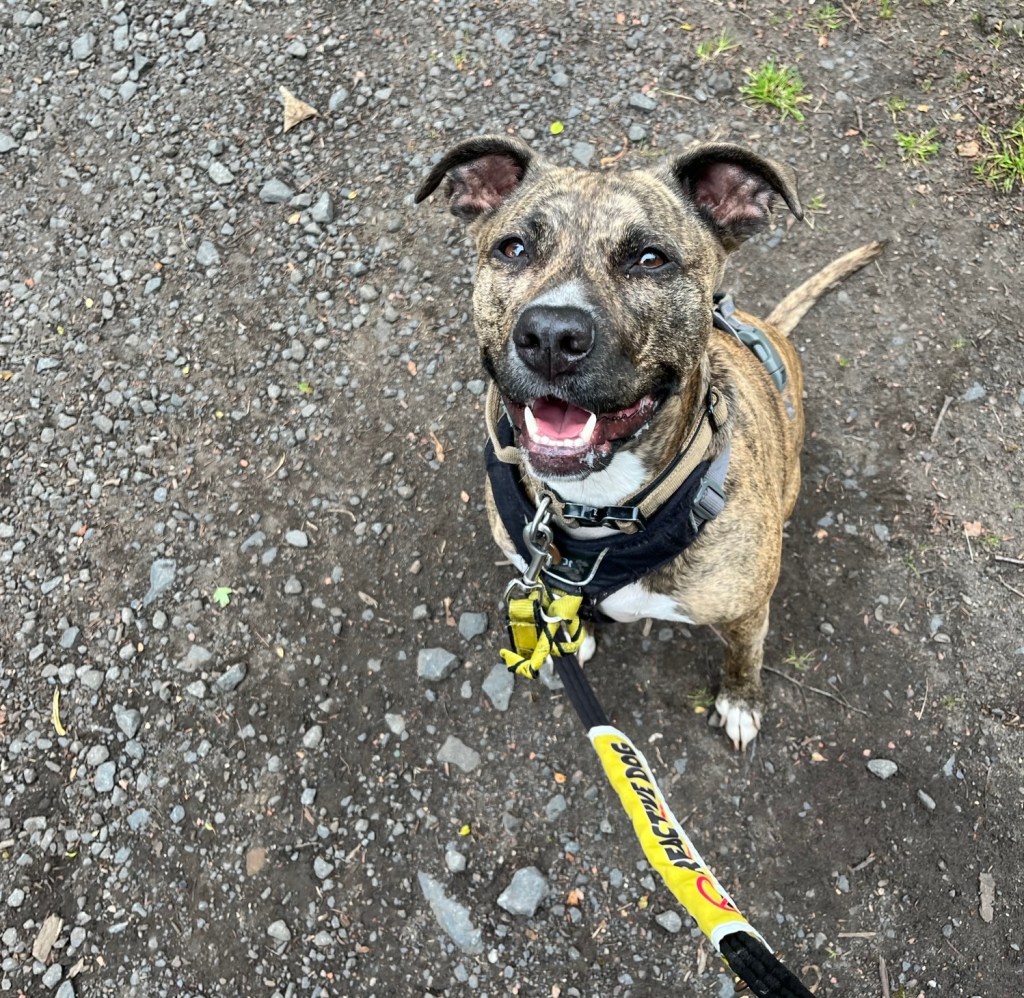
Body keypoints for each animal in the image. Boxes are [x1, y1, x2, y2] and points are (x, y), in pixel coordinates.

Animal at [415, 136, 880, 753]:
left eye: (650, 259)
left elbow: (745, 654)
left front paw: (740, 700)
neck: (599, 506)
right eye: (513, 248)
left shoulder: (747, 609)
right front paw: (571, 632)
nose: (550, 336)